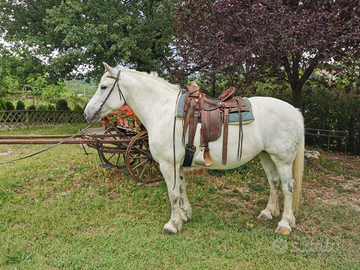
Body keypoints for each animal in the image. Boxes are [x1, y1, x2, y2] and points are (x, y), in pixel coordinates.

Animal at [84, 62, 304, 234]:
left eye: (103, 86)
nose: (87, 113)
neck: (164, 111)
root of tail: (294, 110)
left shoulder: (167, 164)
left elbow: (172, 193)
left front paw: (172, 224)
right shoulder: (178, 163)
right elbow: (181, 188)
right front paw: (185, 215)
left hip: (283, 159)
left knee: (288, 186)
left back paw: (285, 223)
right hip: (266, 155)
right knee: (274, 182)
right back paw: (268, 212)